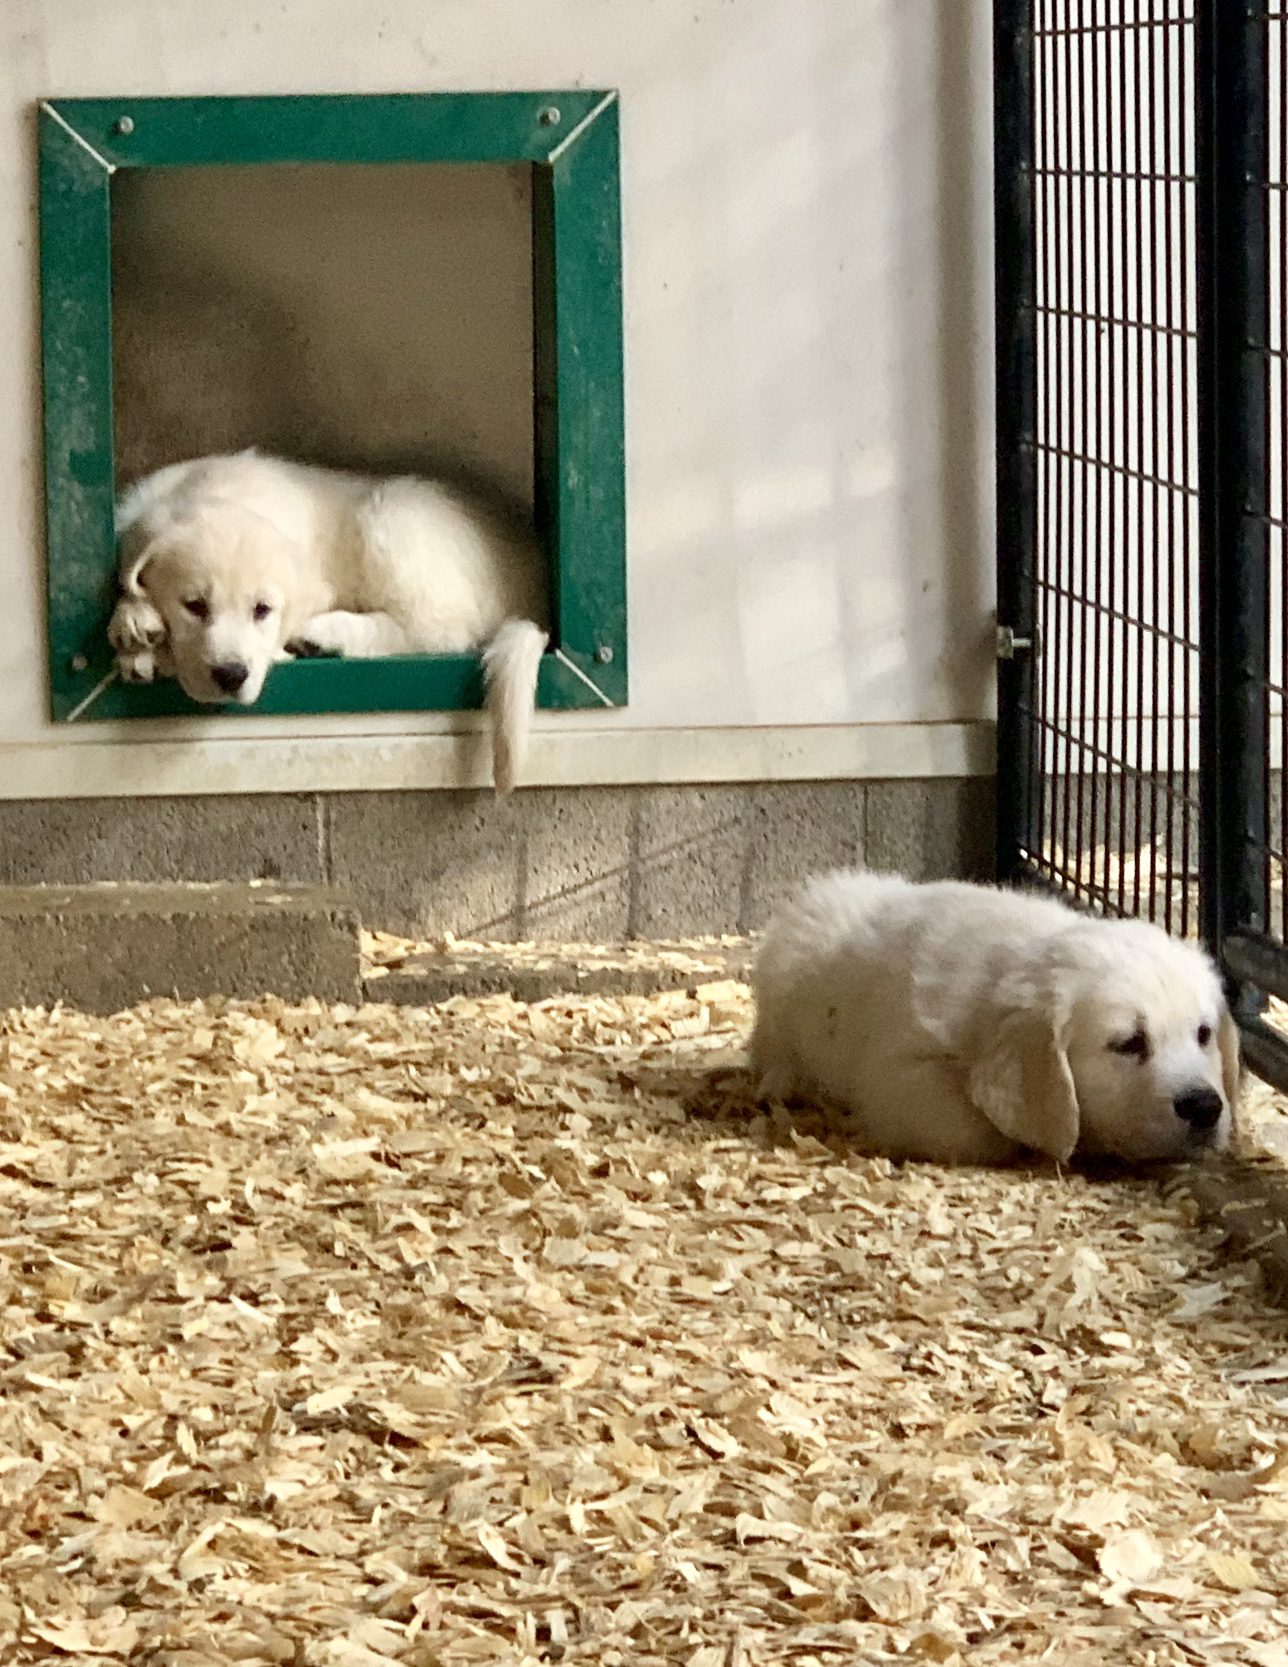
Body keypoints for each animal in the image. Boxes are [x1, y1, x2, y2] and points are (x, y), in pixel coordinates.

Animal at [106, 450, 546, 793]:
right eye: (193, 605)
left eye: (262, 610)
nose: (231, 675)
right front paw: (136, 622)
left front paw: (149, 650)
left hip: (390, 515)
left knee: (439, 628)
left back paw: (322, 634)